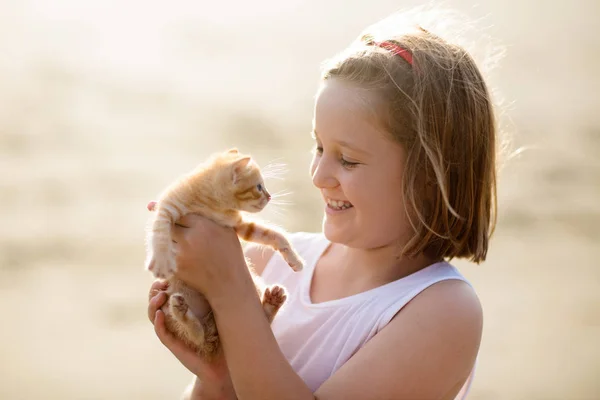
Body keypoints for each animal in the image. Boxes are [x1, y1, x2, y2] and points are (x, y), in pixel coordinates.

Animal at [146, 148, 304, 358]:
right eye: (259, 187)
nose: (270, 196)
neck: (213, 204)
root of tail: (214, 338)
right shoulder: (167, 206)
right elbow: (160, 230)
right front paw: (162, 260)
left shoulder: (239, 226)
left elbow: (272, 234)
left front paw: (294, 258)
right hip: (168, 303)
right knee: (196, 338)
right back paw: (183, 314)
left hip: (253, 286)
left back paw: (272, 302)